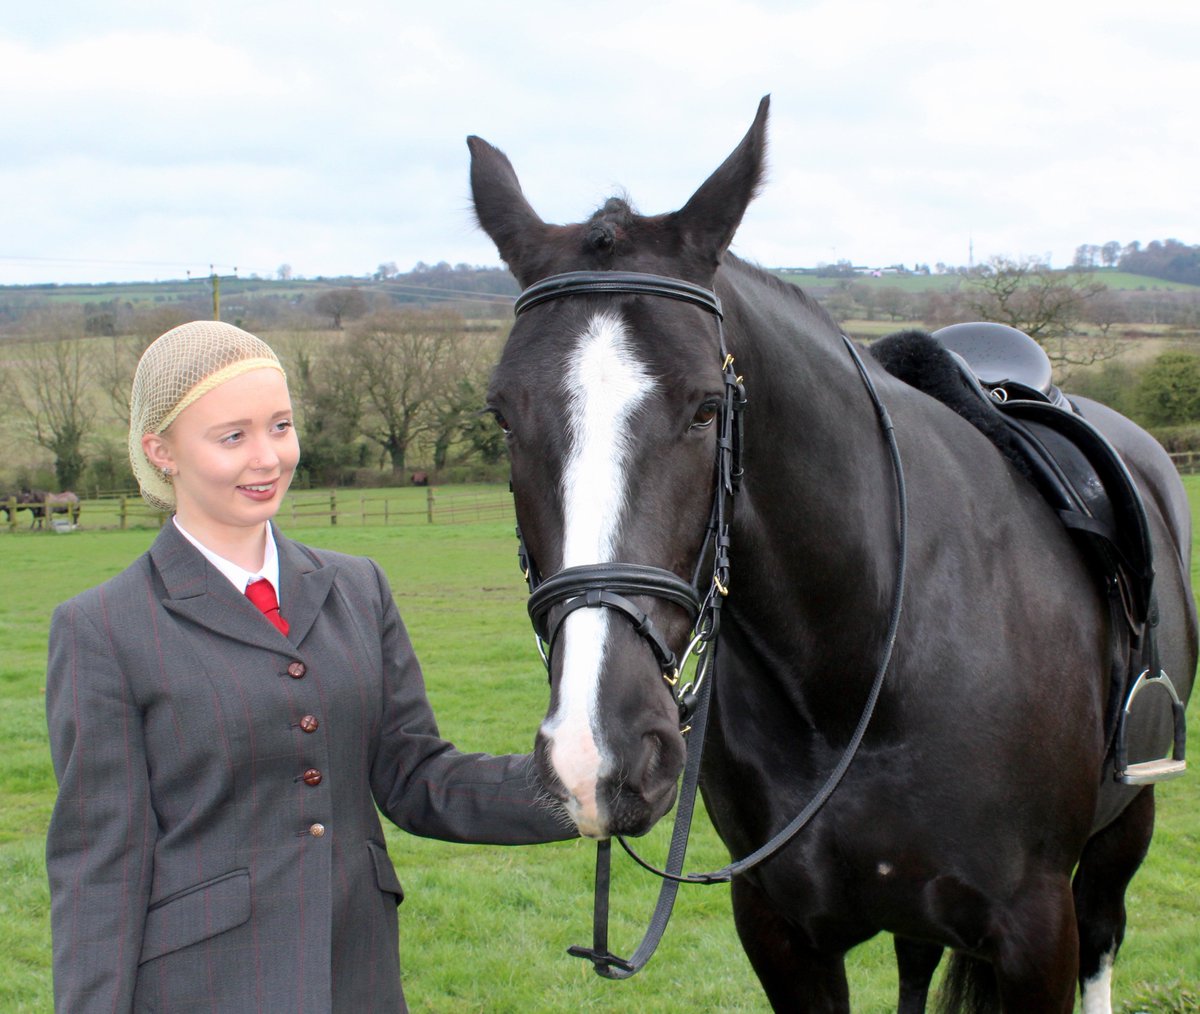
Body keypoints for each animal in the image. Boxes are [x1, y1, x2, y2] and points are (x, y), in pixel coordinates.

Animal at [467, 97, 1197, 1013]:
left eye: (707, 408)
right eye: (501, 416)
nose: (595, 753)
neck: (863, 664)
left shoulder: (1037, 933)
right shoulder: (783, 935)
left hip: (1122, 833)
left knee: (1105, 936)